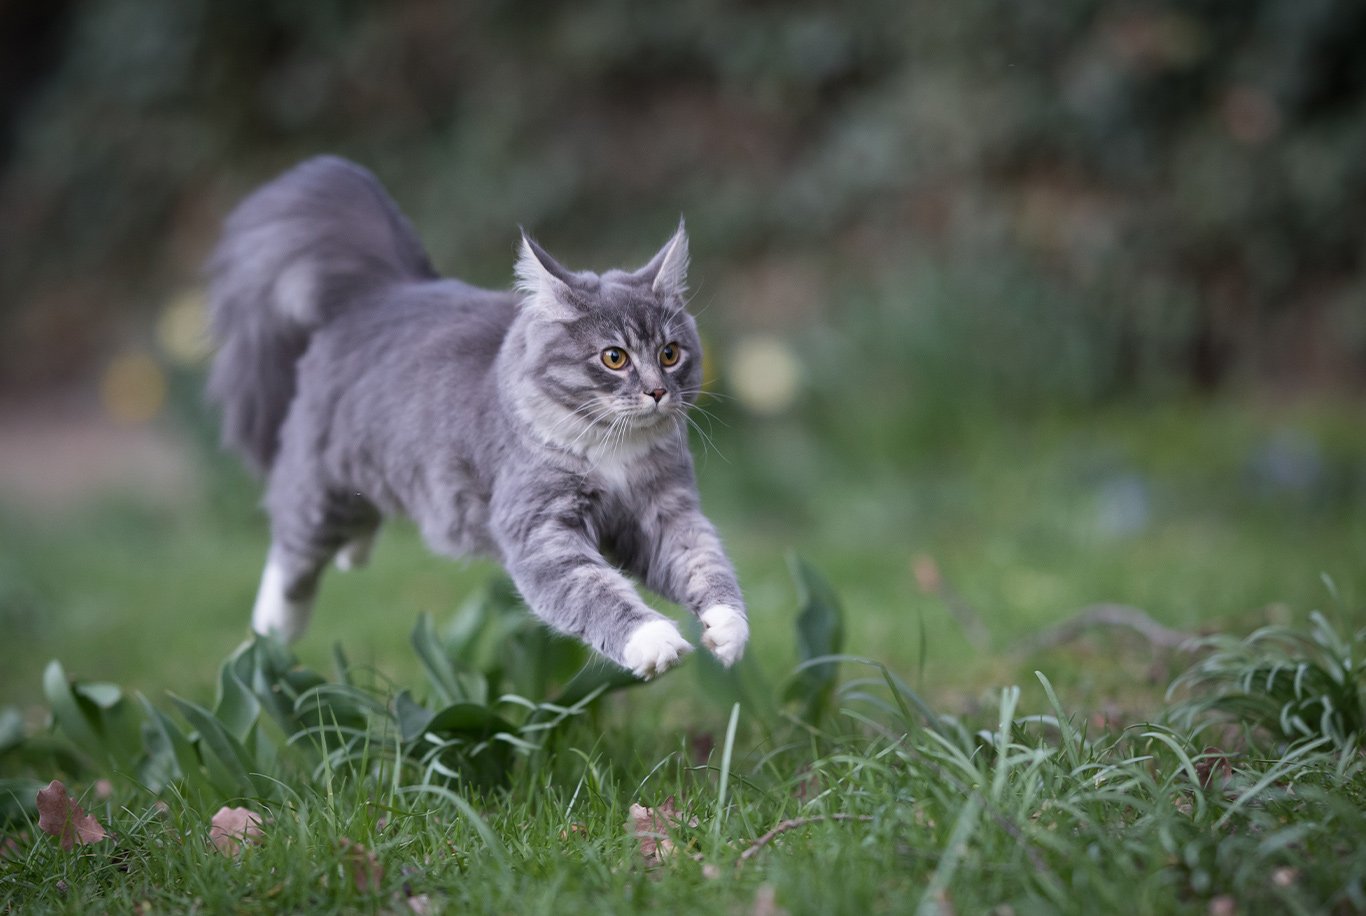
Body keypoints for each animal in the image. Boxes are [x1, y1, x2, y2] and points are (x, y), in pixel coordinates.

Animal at [204, 155, 748, 679]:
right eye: (614, 358)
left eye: (670, 353)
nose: (657, 391)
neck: (612, 451)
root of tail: (382, 290)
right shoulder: (539, 529)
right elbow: (594, 591)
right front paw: (655, 642)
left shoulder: (666, 510)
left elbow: (704, 562)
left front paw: (728, 630)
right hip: (321, 479)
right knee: (292, 547)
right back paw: (269, 638)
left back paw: (348, 555)